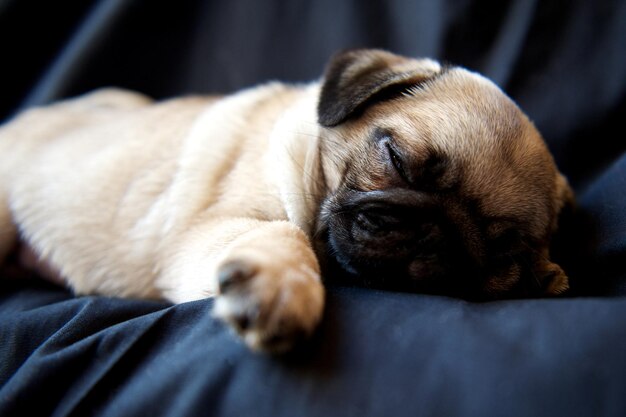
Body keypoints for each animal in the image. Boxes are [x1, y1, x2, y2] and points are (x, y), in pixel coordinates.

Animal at [0, 49, 572, 352]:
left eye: (501, 251)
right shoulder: (213, 226)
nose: (435, 235)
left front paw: (548, 276)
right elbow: (282, 231)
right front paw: (279, 286)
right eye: (397, 159)